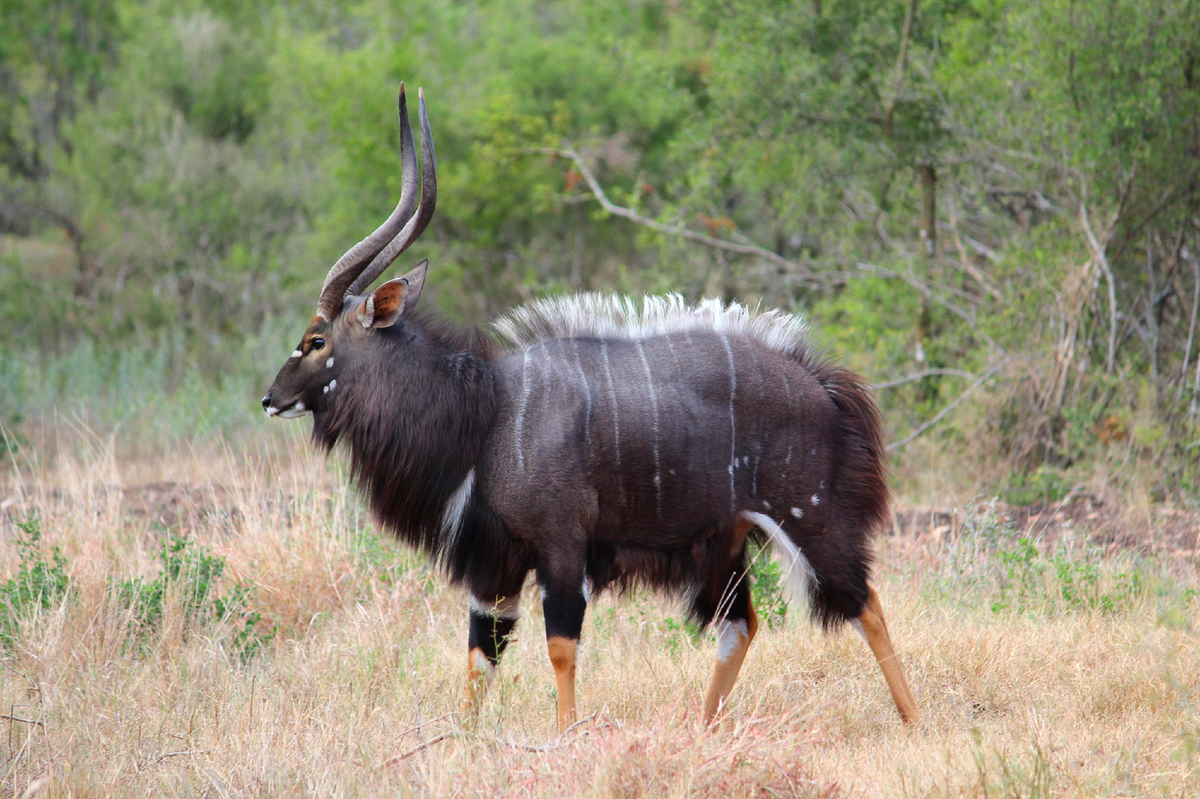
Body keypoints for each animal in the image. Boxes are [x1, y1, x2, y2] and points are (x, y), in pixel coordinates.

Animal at [262, 85, 919, 731]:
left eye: (316, 341)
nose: (271, 399)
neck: (485, 411)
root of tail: (822, 387)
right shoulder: (495, 565)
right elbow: (480, 655)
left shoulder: (560, 546)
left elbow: (560, 647)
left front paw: (566, 735)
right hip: (726, 544)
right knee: (741, 625)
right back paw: (702, 731)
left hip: (810, 517)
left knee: (866, 603)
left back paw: (915, 721)